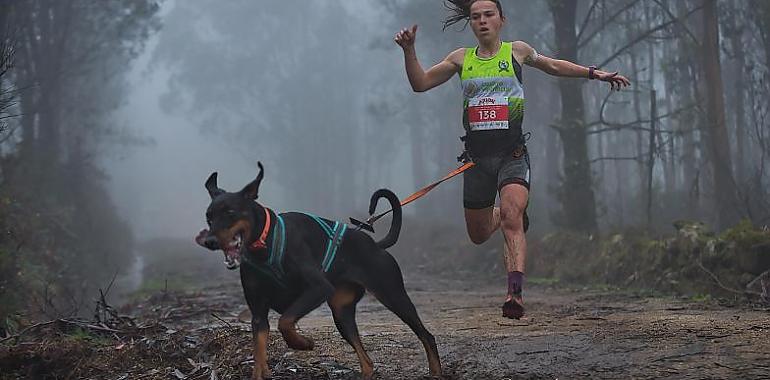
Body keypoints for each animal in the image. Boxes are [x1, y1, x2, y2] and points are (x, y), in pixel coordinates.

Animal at [195, 163, 440, 380]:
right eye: (208, 216)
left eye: (230, 212)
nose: (209, 241)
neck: (265, 244)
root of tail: (376, 245)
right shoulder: (258, 313)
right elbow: (259, 355)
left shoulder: (318, 288)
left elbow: (285, 321)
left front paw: (302, 343)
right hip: (341, 312)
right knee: (367, 361)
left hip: (393, 295)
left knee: (427, 336)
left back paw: (436, 372)